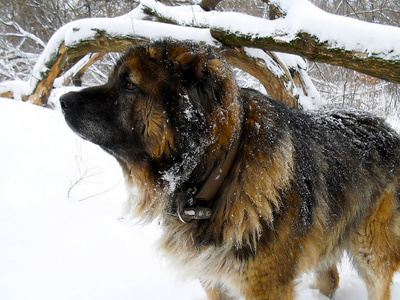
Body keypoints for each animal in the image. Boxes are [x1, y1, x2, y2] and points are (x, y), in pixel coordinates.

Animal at [61, 40, 400, 300]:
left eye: (129, 85)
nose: (63, 99)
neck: (221, 172)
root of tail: (388, 130)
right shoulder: (214, 279)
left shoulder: (265, 285)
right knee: (329, 278)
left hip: (372, 248)